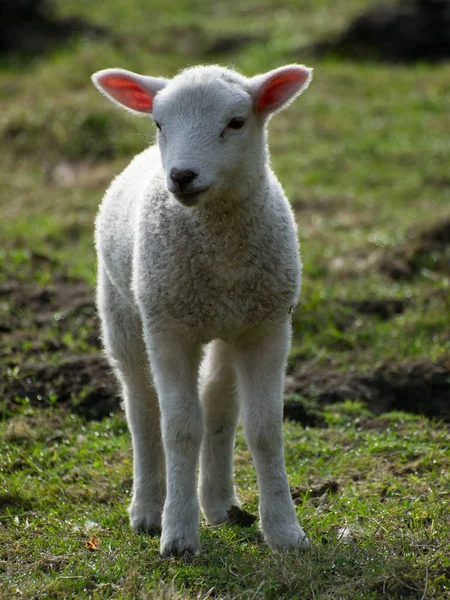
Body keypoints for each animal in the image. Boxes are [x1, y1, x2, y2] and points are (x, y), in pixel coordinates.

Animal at [91, 63, 312, 556]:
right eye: (159, 123)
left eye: (236, 122)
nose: (181, 176)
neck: (221, 251)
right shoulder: (168, 328)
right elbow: (180, 427)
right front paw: (177, 535)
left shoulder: (268, 326)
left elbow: (264, 427)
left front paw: (285, 531)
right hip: (124, 312)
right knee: (142, 407)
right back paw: (148, 509)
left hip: (228, 324)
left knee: (218, 404)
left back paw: (220, 503)